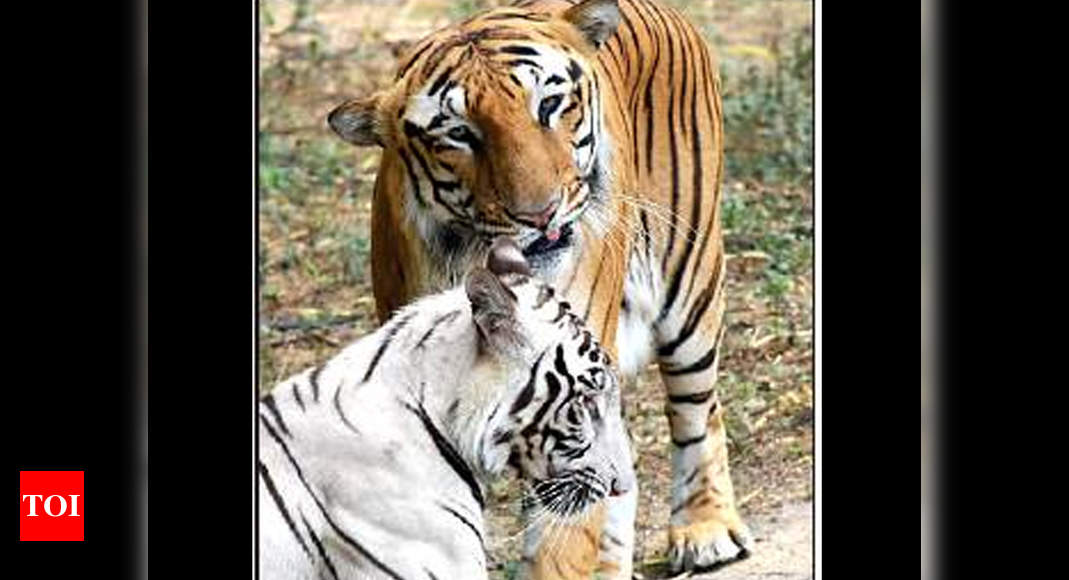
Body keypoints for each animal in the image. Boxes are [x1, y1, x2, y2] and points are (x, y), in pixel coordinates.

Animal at [324, 0, 752, 576]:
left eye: (549, 105)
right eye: (458, 134)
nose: (540, 214)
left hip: (690, 288)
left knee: (697, 410)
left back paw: (705, 530)